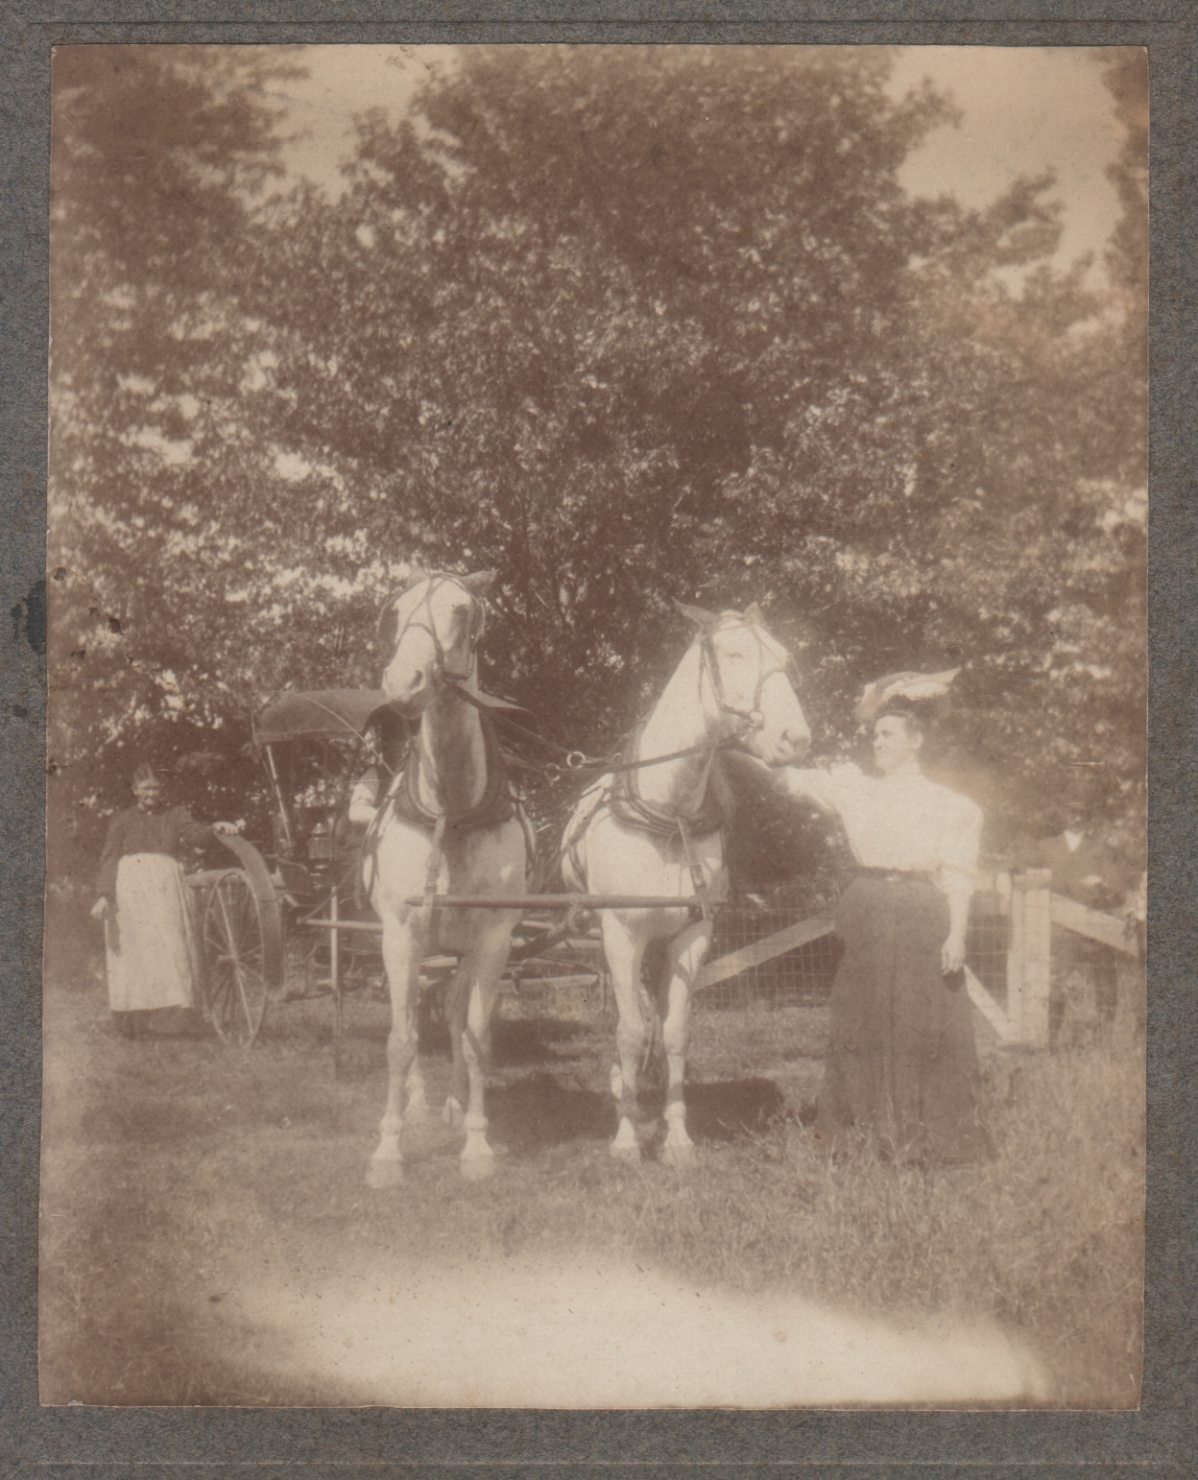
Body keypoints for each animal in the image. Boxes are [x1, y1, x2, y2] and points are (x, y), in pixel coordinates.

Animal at [364, 568, 530, 1187]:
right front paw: (388, 1151)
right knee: (415, 1014)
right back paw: (416, 1104)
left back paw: (457, 1105)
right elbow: (400, 1040)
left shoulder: (493, 939)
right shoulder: (399, 935)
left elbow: (478, 1037)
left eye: (462, 611)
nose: (403, 681)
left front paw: (477, 1144)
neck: (450, 811)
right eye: (397, 611)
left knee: (457, 1016)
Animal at [562, 600, 810, 1167]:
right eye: (733, 653)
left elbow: (674, 1031)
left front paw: (675, 1136)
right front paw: (627, 1137)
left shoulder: (691, 937)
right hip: (601, 939)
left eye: (786, 656)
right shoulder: (621, 935)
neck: (668, 812)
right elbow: (630, 1030)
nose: (797, 739)